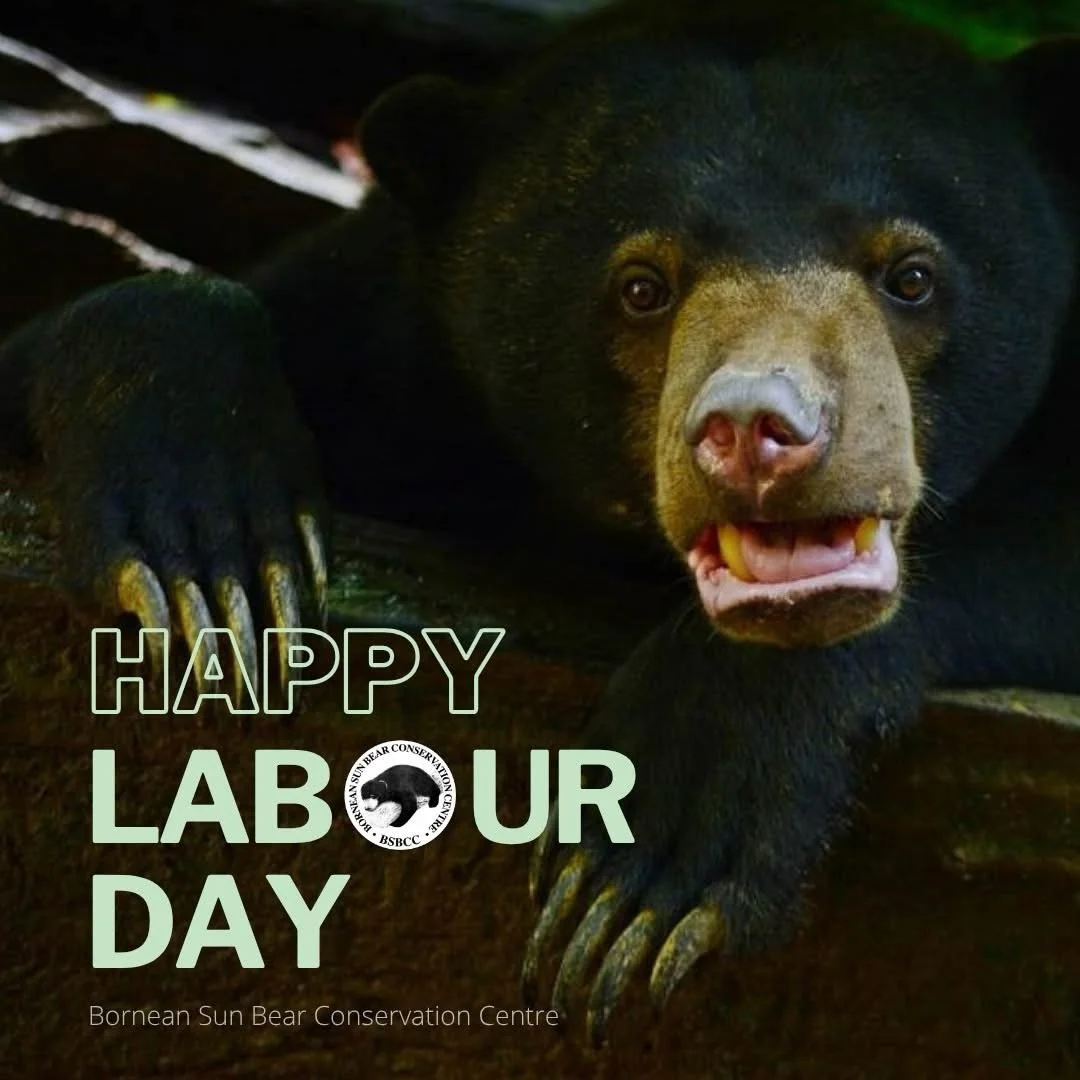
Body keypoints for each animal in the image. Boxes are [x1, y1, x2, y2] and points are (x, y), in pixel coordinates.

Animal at [0, 0, 1077, 1047]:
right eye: (642, 287)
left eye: (911, 275)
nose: (759, 434)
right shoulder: (385, 331)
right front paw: (212, 565)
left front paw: (646, 864)